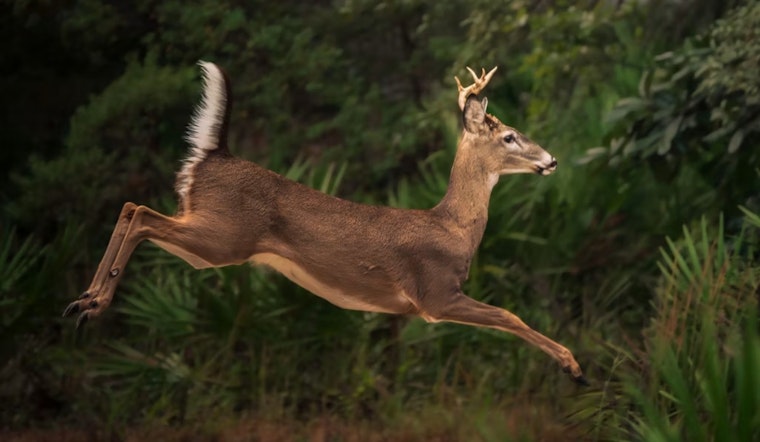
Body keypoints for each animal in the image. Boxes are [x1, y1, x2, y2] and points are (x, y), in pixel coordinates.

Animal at [62, 61, 587, 385]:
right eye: (510, 136)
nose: (552, 160)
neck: (453, 226)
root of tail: (213, 155)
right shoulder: (435, 294)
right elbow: (510, 315)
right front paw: (574, 366)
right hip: (222, 236)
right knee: (141, 212)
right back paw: (92, 303)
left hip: (209, 238)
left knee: (131, 208)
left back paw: (83, 302)